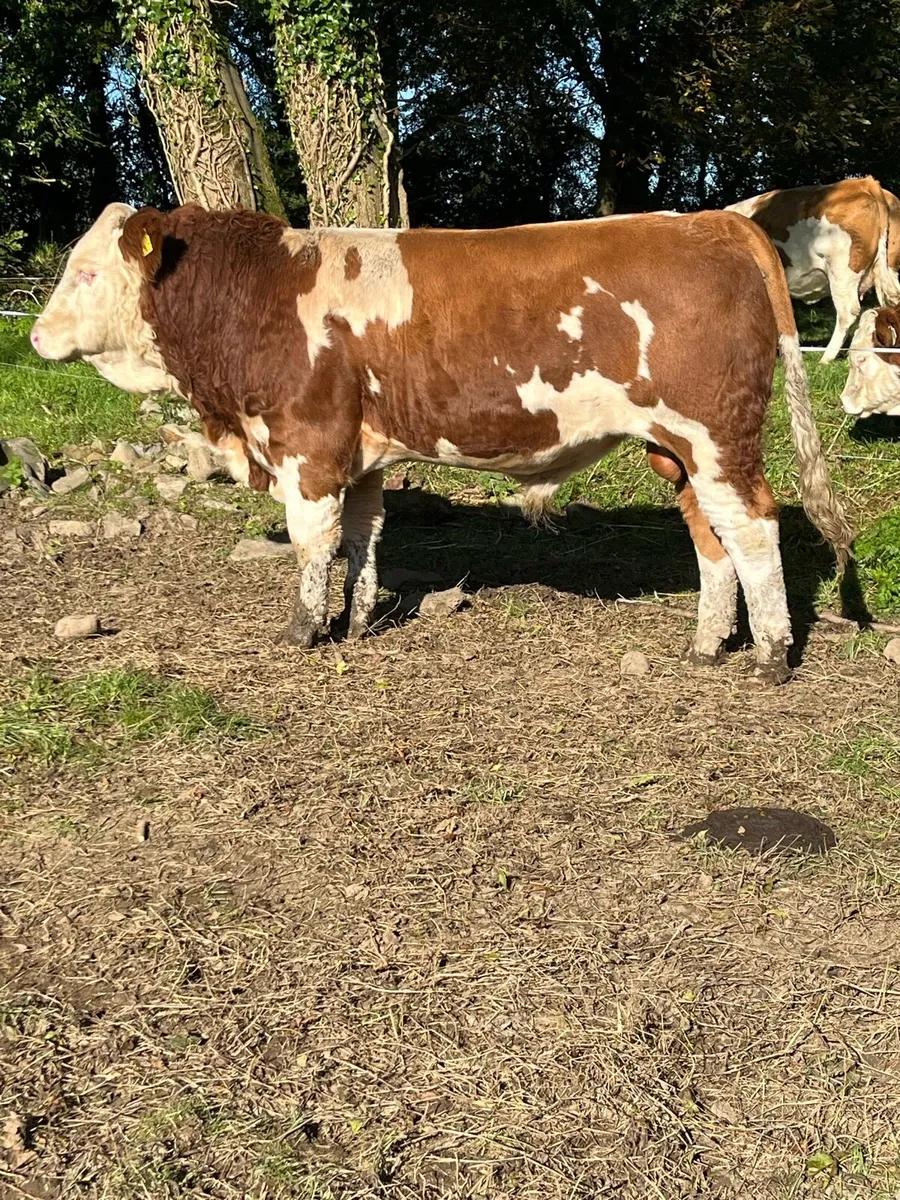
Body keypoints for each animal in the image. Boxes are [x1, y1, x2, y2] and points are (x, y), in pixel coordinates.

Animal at [29, 203, 853, 684]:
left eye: (89, 271)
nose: (34, 336)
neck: (259, 293)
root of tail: (715, 218)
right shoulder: (358, 452)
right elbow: (362, 536)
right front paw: (358, 620)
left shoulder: (306, 442)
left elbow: (310, 540)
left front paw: (303, 629)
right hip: (676, 450)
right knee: (711, 536)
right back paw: (708, 643)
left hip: (715, 435)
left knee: (753, 526)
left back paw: (771, 656)